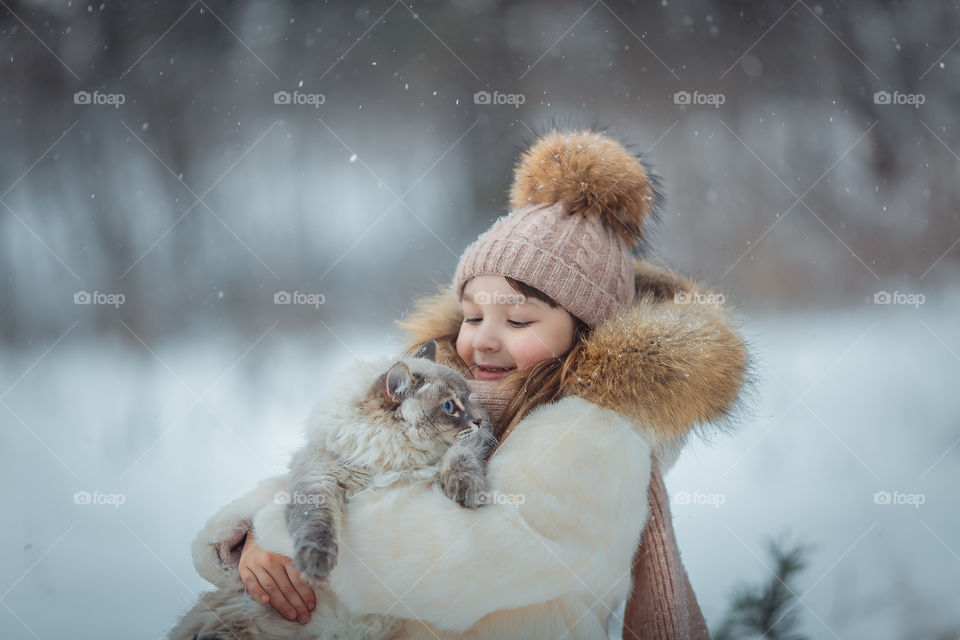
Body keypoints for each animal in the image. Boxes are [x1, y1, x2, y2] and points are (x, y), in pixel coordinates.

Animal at [169, 340, 496, 640]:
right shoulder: (318, 482)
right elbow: (318, 525)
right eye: (449, 407)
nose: (480, 420)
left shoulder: (466, 448)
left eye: (469, 400)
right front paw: (316, 564)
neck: (393, 455)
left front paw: (468, 490)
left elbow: (459, 459)